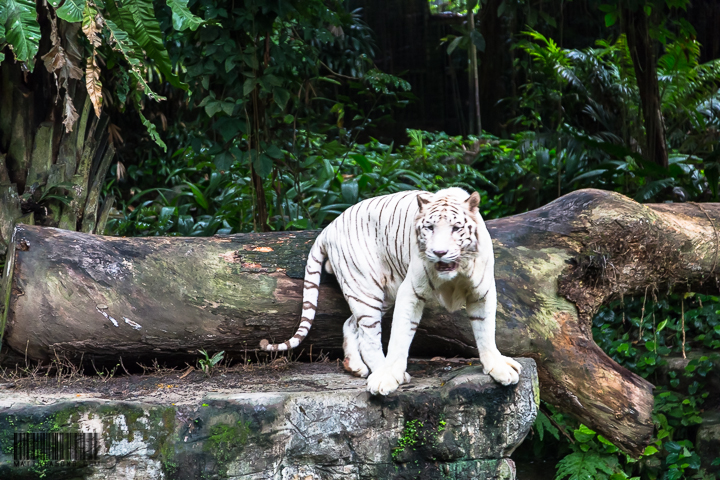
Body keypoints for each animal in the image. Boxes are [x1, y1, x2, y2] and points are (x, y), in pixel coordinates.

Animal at [260, 187, 522, 395]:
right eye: (429, 227)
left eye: (456, 228)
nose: (439, 253)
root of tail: (328, 228)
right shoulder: (411, 291)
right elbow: (400, 335)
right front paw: (388, 376)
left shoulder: (482, 291)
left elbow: (485, 332)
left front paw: (498, 367)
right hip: (366, 288)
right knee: (369, 338)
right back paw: (383, 373)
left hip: (382, 294)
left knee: (350, 323)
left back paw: (355, 367)